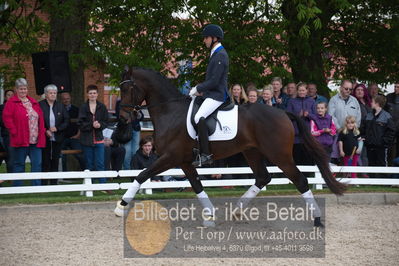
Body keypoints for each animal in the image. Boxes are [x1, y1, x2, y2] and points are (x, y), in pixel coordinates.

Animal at [115, 67, 346, 227]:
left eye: (126, 88)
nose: (123, 118)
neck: (170, 111)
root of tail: (283, 113)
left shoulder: (170, 157)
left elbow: (142, 175)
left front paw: (121, 206)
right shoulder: (184, 161)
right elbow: (197, 185)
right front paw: (210, 215)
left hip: (279, 155)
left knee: (300, 180)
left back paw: (317, 219)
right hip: (252, 152)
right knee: (263, 177)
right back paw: (236, 210)